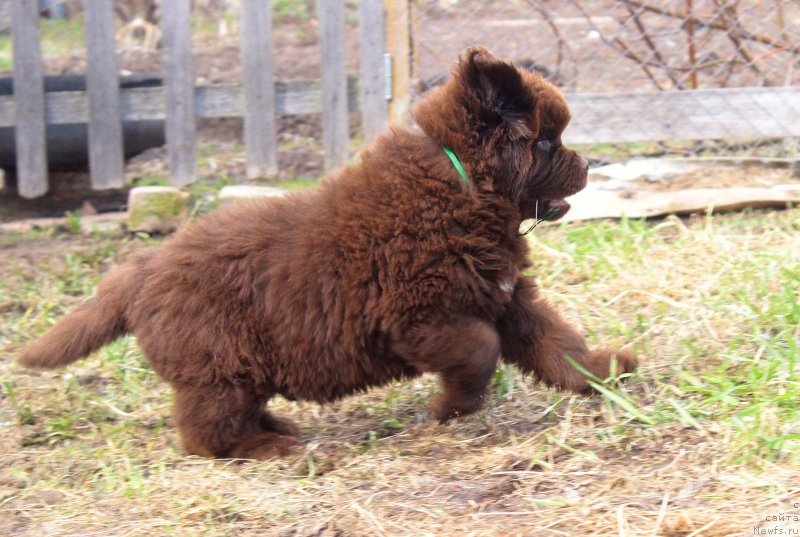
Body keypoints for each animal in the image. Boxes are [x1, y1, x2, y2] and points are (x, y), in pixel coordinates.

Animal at [18, 48, 636, 458]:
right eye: (547, 142)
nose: (588, 165)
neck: (459, 184)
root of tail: (142, 269)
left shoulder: (507, 299)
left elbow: (558, 343)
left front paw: (604, 372)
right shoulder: (419, 318)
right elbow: (480, 351)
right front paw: (450, 409)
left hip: (233, 368)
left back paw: (278, 431)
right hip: (218, 366)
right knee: (205, 432)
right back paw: (268, 448)